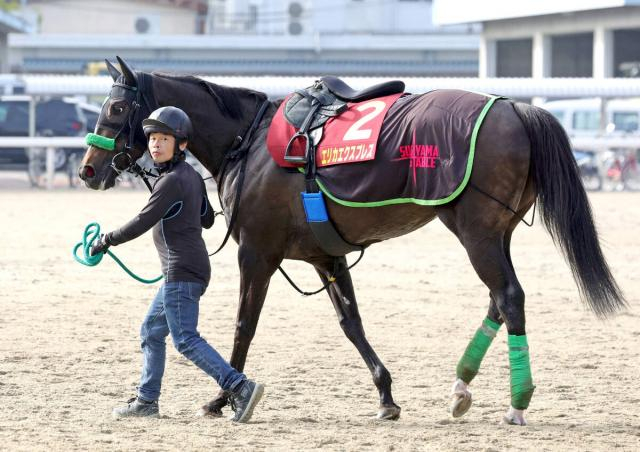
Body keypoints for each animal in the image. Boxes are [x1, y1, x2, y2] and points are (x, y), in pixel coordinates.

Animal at [79, 57, 625, 425]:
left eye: (118, 106)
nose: (88, 169)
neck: (250, 142)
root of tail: (515, 108)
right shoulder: (327, 256)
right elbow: (351, 324)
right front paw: (385, 396)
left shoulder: (256, 253)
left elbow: (243, 326)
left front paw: (224, 397)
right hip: (496, 233)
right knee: (498, 299)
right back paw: (460, 388)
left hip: (477, 234)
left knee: (509, 297)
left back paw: (516, 402)